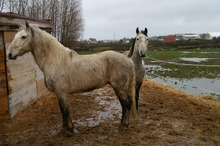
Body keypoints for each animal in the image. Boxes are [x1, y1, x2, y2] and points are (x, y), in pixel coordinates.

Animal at [8, 21, 138, 137]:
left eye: (24, 36)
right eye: (14, 36)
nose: (10, 54)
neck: (55, 60)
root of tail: (128, 60)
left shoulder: (61, 92)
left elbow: (65, 110)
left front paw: (68, 131)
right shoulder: (60, 93)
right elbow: (64, 110)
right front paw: (66, 129)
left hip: (119, 87)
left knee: (126, 103)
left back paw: (123, 127)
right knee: (125, 104)